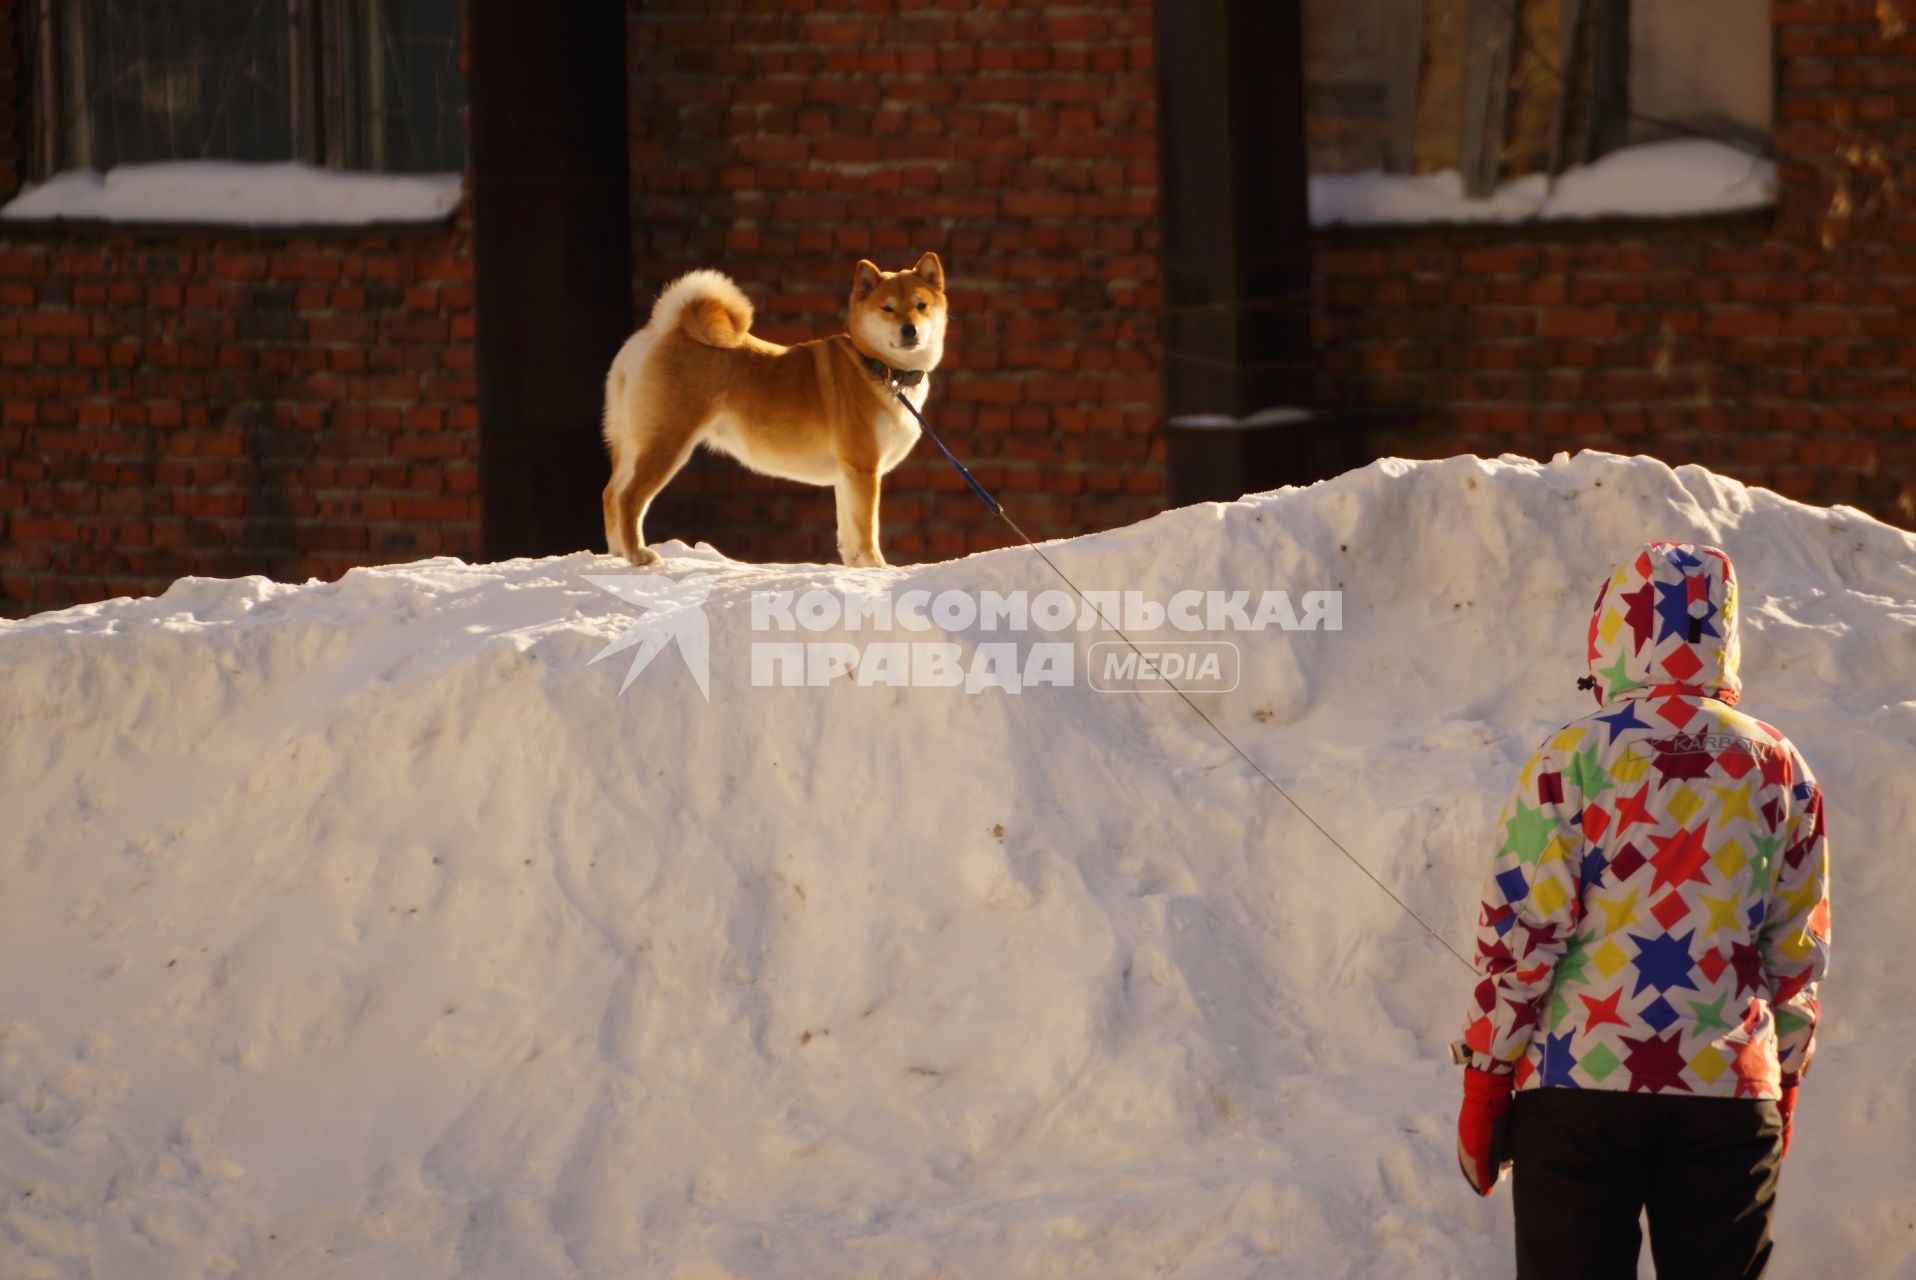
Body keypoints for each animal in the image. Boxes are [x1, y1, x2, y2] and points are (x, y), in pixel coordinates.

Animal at [601, 252, 946, 567]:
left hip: (632, 443)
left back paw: (618, 553)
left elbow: (849, 536)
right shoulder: (863, 469)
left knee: (610, 493)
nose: (910, 329)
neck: (880, 369)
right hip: (667, 442)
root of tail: (663, 331)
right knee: (629, 497)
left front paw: (857, 570)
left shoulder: (847, 476)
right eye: (887, 308)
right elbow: (866, 532)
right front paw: (876, 569)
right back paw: (638, 555)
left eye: (921, 306)